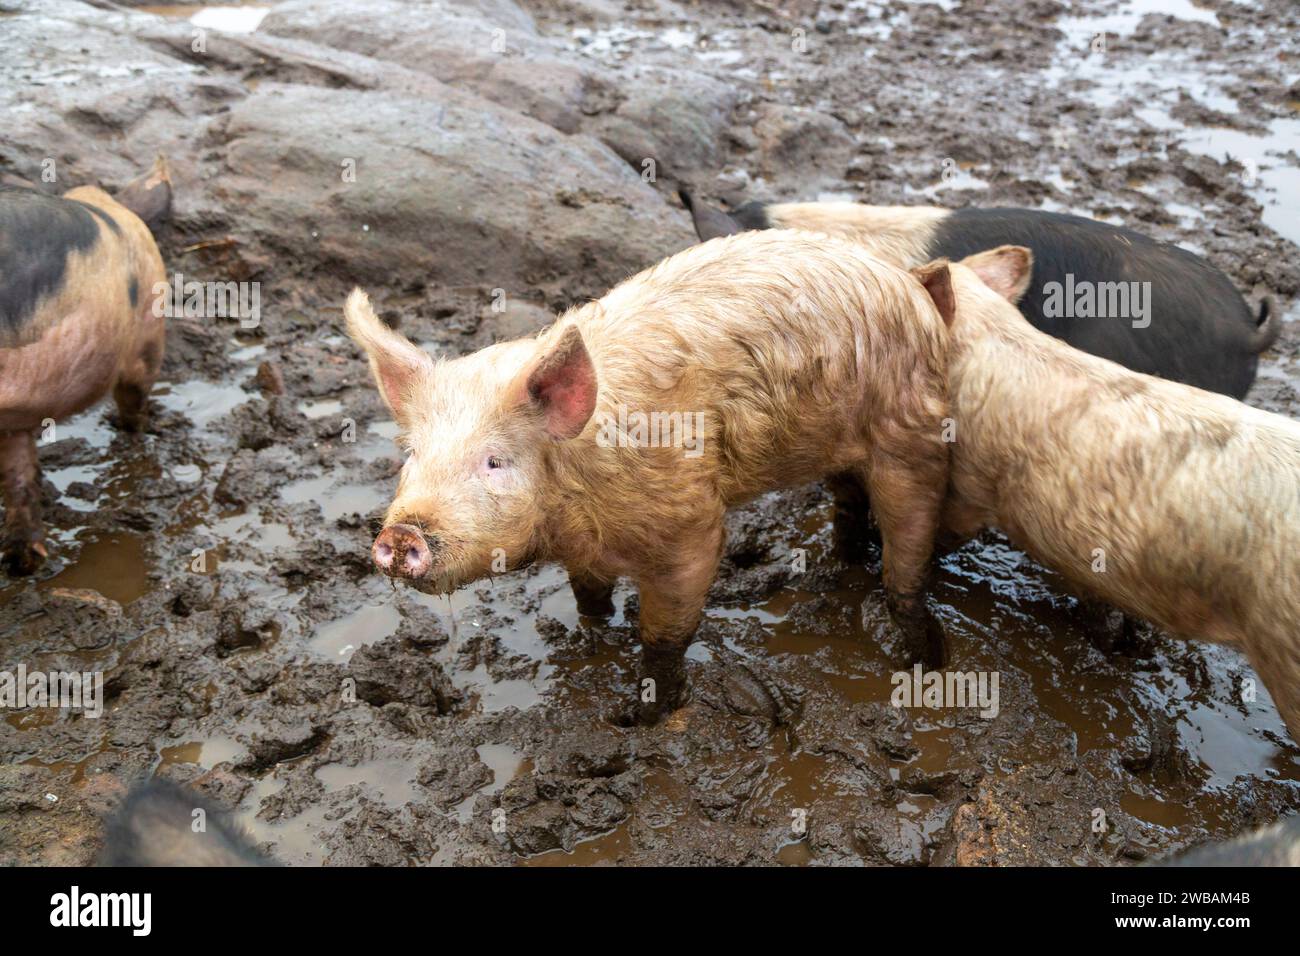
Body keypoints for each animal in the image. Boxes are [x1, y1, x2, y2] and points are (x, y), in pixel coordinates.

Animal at [347, 230, 954, 722]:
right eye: (411, 454)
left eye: (495, 461)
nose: (401, 534)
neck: (577, 503)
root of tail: (913, 287)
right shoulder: (583, 550)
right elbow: (589, 595)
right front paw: (591, 640)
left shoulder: (689, 525)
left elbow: (664, 636)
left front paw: (646, 719)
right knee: (850, 502)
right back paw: (842, 566)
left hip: (911, 437)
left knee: (907, 557)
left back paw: (925, 660)